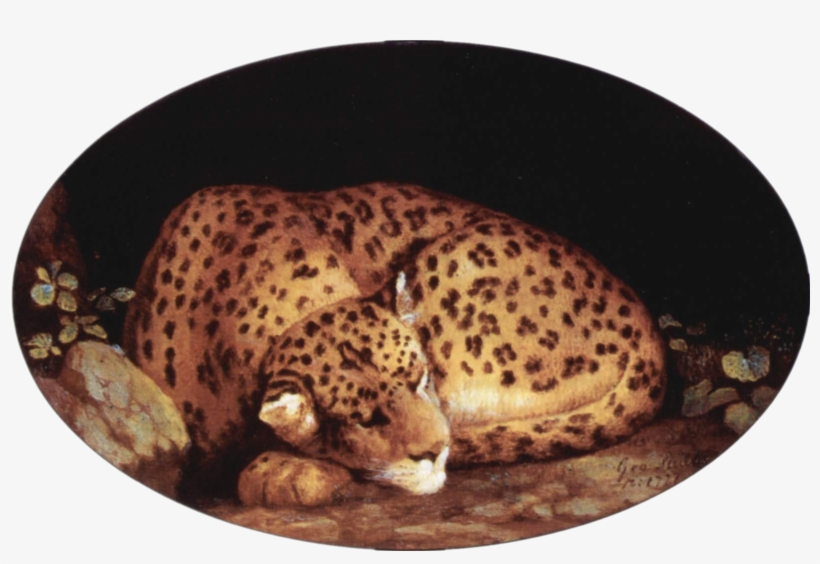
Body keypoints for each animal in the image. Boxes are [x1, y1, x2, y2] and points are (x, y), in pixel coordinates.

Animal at [124, 182, 665, 500]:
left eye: (421, 378)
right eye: (365, 419)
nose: (436, 450)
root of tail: (644, 323)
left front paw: (285, 470)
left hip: (444, 266)